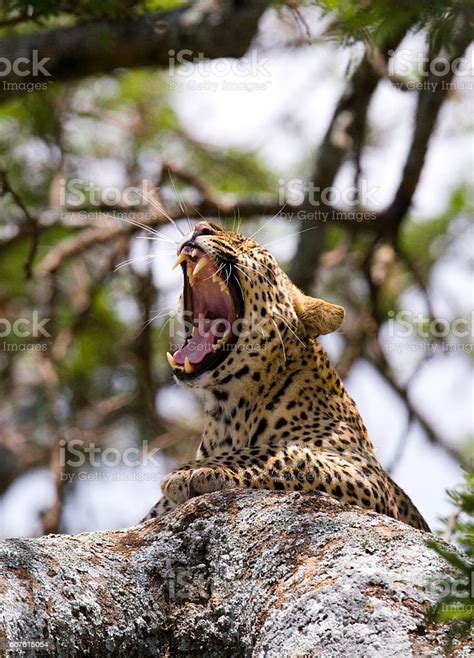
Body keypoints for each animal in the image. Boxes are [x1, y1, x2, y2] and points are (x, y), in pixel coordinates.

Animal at [143, 218, 430, 532]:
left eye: (248, 246)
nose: (201, 227)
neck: (230, 412)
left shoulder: (367, 479)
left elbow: (286, 454)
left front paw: (197, 470)